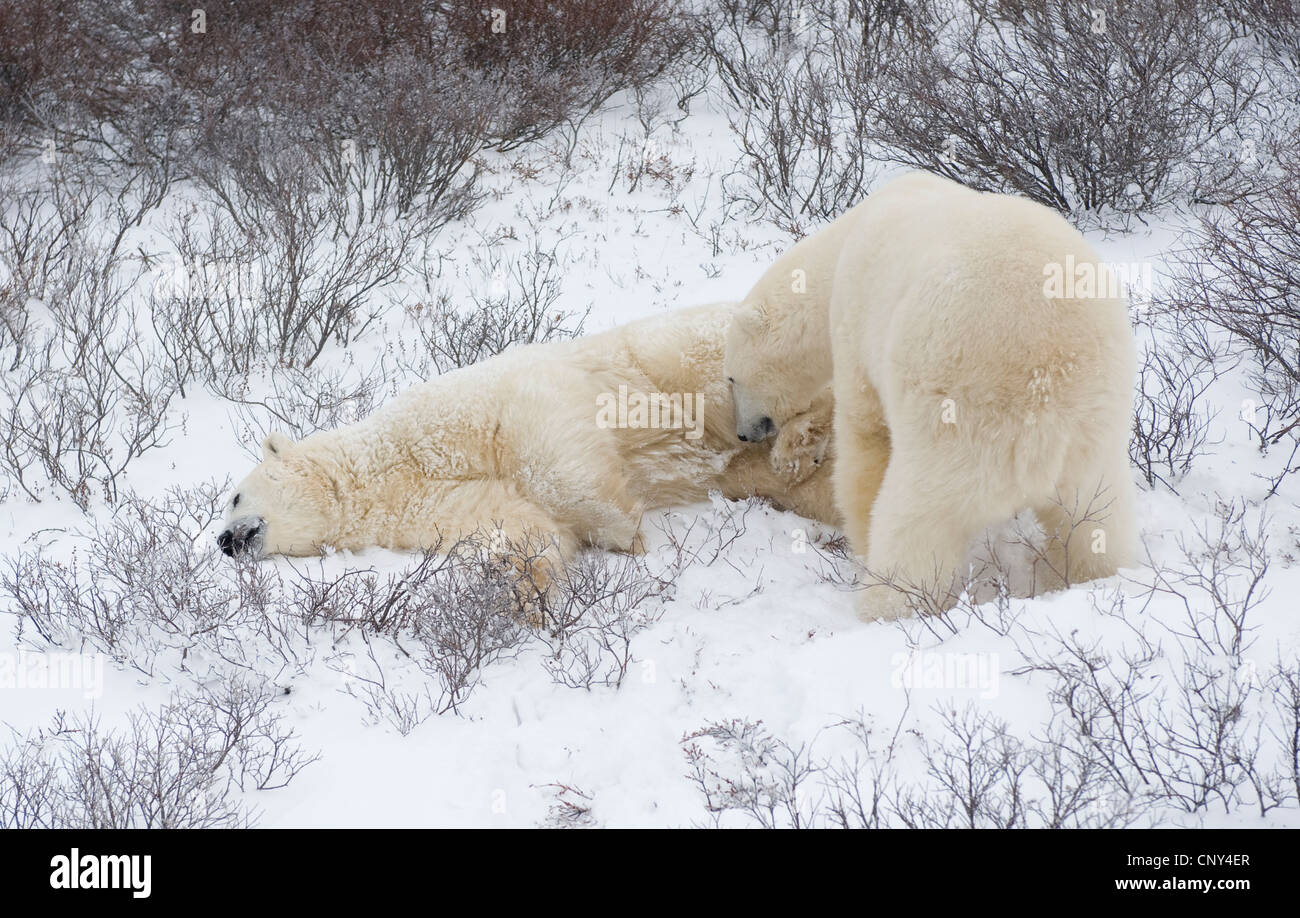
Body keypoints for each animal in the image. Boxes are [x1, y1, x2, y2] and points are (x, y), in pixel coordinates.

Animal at [218, 302, 839, 593]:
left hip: (695, 354)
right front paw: (531, 589)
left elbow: (545, 444)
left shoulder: (470, 406)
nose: (224, 542)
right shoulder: (424, 508)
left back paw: (796, 440)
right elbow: (521, 527)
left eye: (232, 496)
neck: (386, 467)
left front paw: (626, 534)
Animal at [723, 171, 1138, 620]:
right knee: (1095, 518)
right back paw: (1093, 574)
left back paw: (887, 606)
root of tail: (1047, 386)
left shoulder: (858, 325)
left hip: (958, 423)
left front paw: (860, 541)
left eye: (730, 379)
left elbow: (865, 439)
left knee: (919, 523)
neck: (843, 244)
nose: (744, 433)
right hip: (1094, 431)